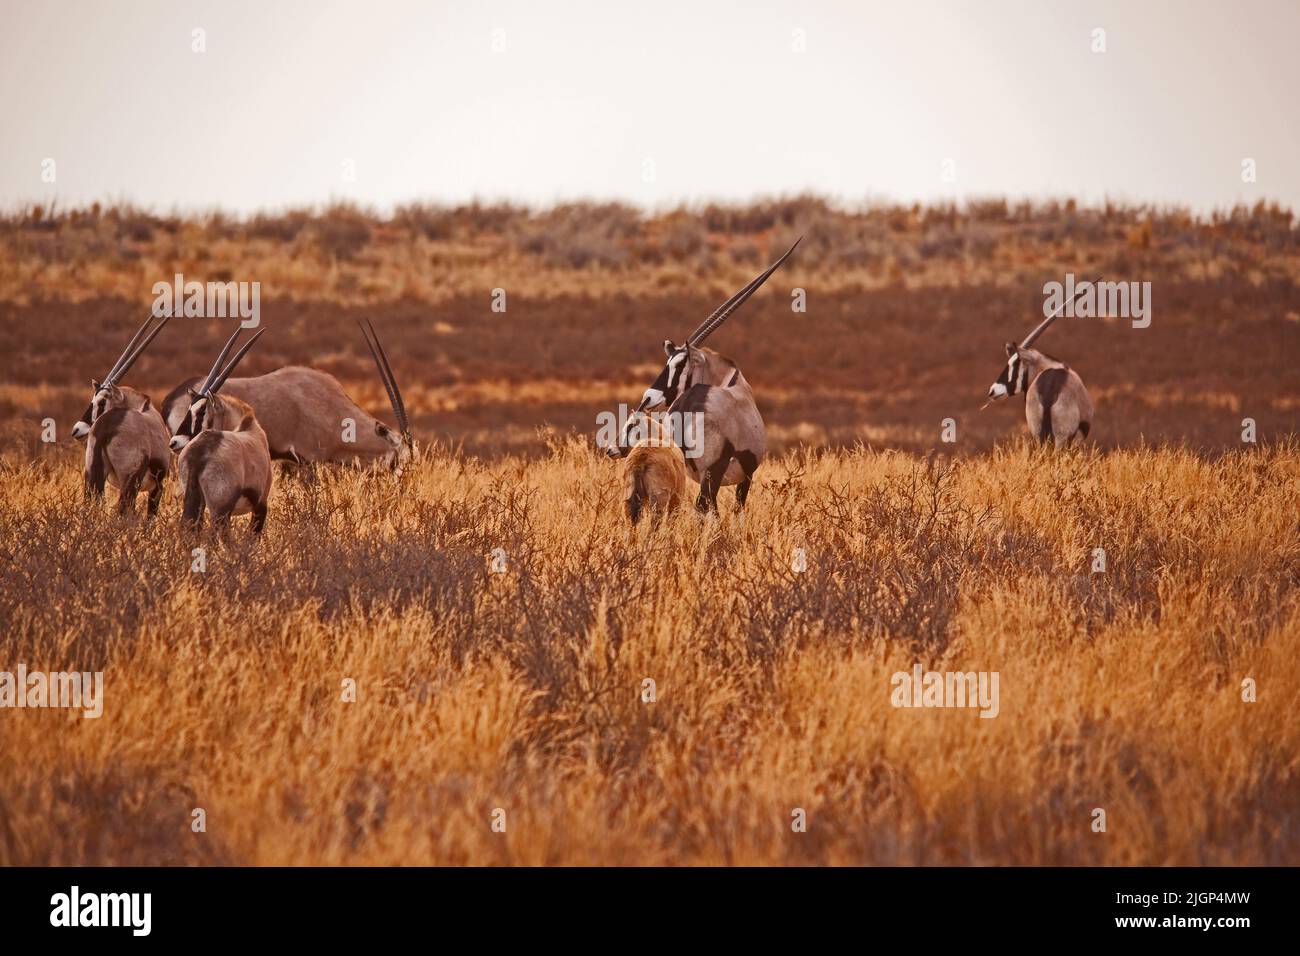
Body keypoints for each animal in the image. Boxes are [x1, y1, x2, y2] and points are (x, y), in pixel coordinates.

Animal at [73, 314, 174, 515]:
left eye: (101, 401)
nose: (76, 429)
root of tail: (107, 427)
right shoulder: (157, 487)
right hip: (131, 481)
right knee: (122, 511)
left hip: (92, 475)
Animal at [172, 329, 274, 538]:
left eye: (202, 410)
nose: (175, 442)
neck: (247, 425)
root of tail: (199, 453)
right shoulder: (261, 505)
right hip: (220, 511)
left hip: (198, 503)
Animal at [603, 236, 795, 512]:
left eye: (678, 363)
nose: (648, 398)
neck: (729, 379)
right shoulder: (746, 475)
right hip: (712, 472)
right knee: (705, 506)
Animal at [982, 273, 1097, 444]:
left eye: (1015, 364)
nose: (992, 391)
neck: (1050, 366)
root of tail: (1049, 391)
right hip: (1062, 438)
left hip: (1038, 434)